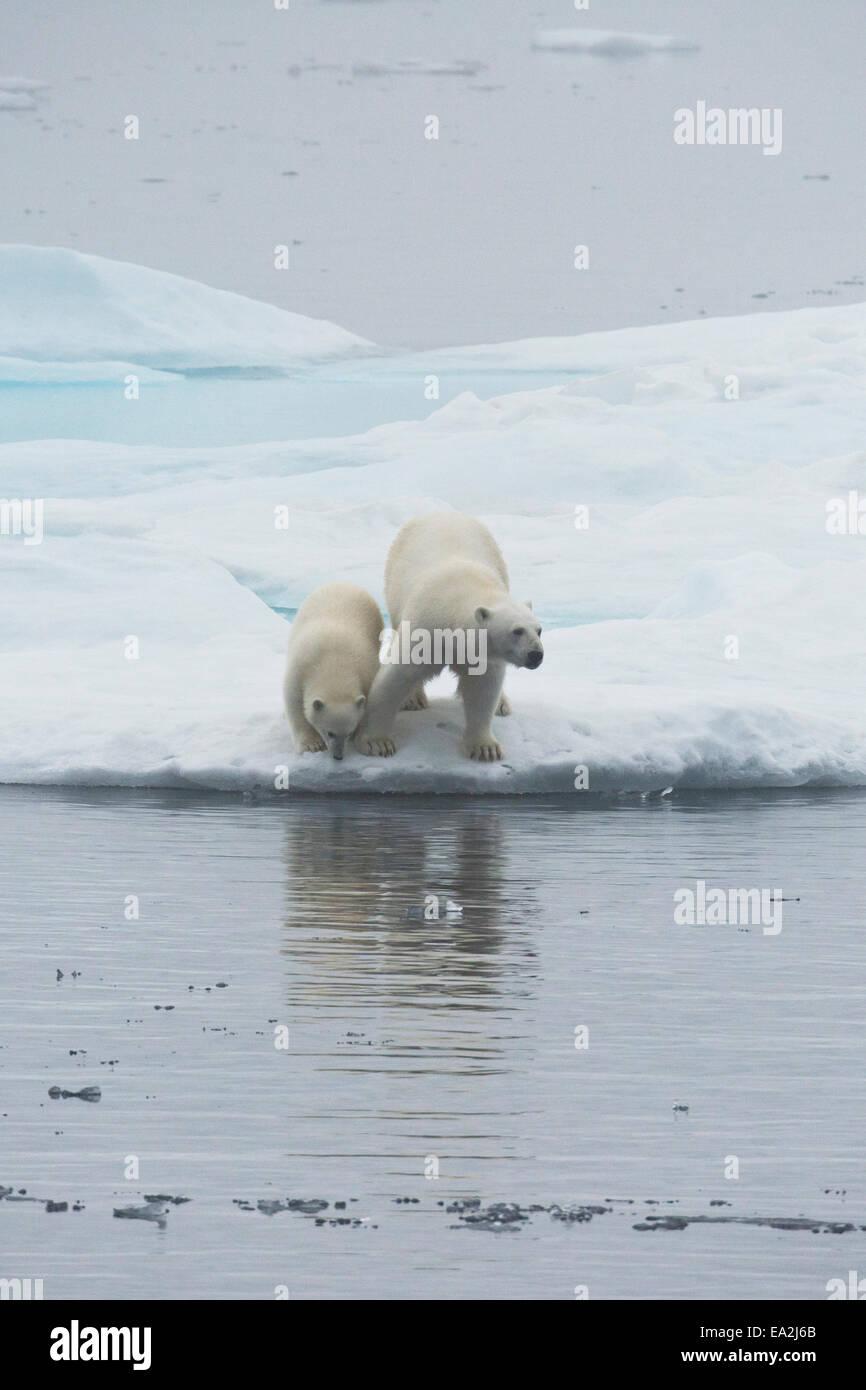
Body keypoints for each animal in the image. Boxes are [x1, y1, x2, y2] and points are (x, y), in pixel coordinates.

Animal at [358, 514, 542, 761]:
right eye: (517, 631)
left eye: (539, 630)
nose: (536, 654)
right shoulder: (426, 628)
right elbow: (394, 678)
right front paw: (377, 743)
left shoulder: (484, 656)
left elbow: (483, 689)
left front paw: (486, 748)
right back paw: (413, 699)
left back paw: (501, 705)